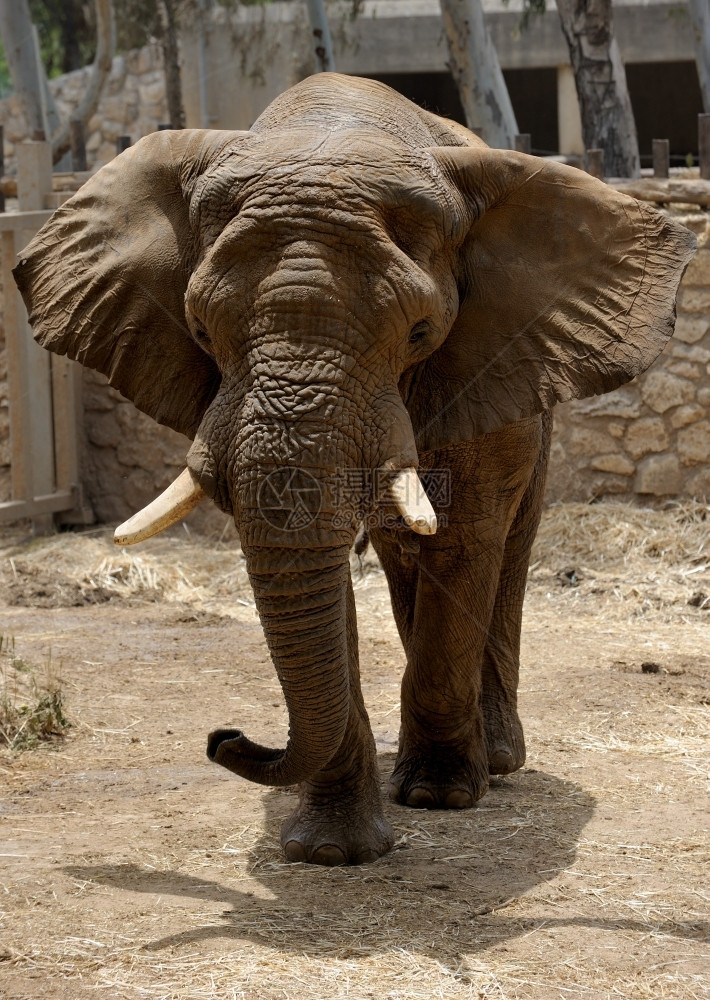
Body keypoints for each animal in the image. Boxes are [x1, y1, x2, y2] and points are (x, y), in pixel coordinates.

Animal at [15, 72, 696, 868]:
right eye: (201, 332)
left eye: (421, 332)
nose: (224, 737)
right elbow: (319, 570)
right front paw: (332, 851)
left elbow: (462, 542)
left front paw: (439, 798)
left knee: (504, 548)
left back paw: (494, 765)